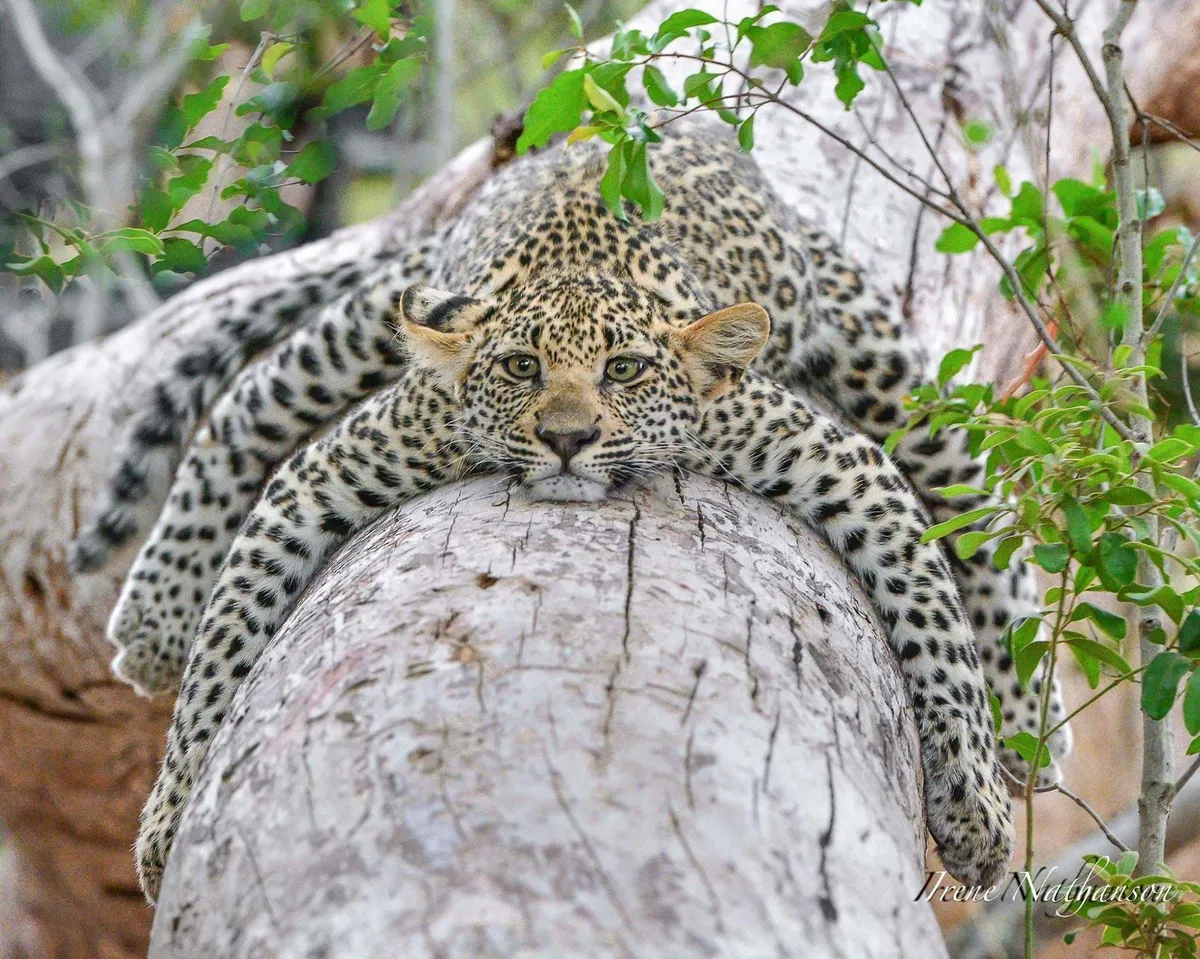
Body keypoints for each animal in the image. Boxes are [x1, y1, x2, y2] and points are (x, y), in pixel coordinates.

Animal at [72, 119, 1072, 903]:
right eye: (521, 367)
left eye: (623, 370)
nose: (565, 437)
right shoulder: (338, 466)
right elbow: (220, 652)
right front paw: (168, 820)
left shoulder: (840, 458)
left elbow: (934, 622)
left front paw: (976, 805)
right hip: (385, 316)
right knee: (247, 401)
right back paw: (154, 616)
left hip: (883, 365)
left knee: (975, 506)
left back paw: (1030, 720)